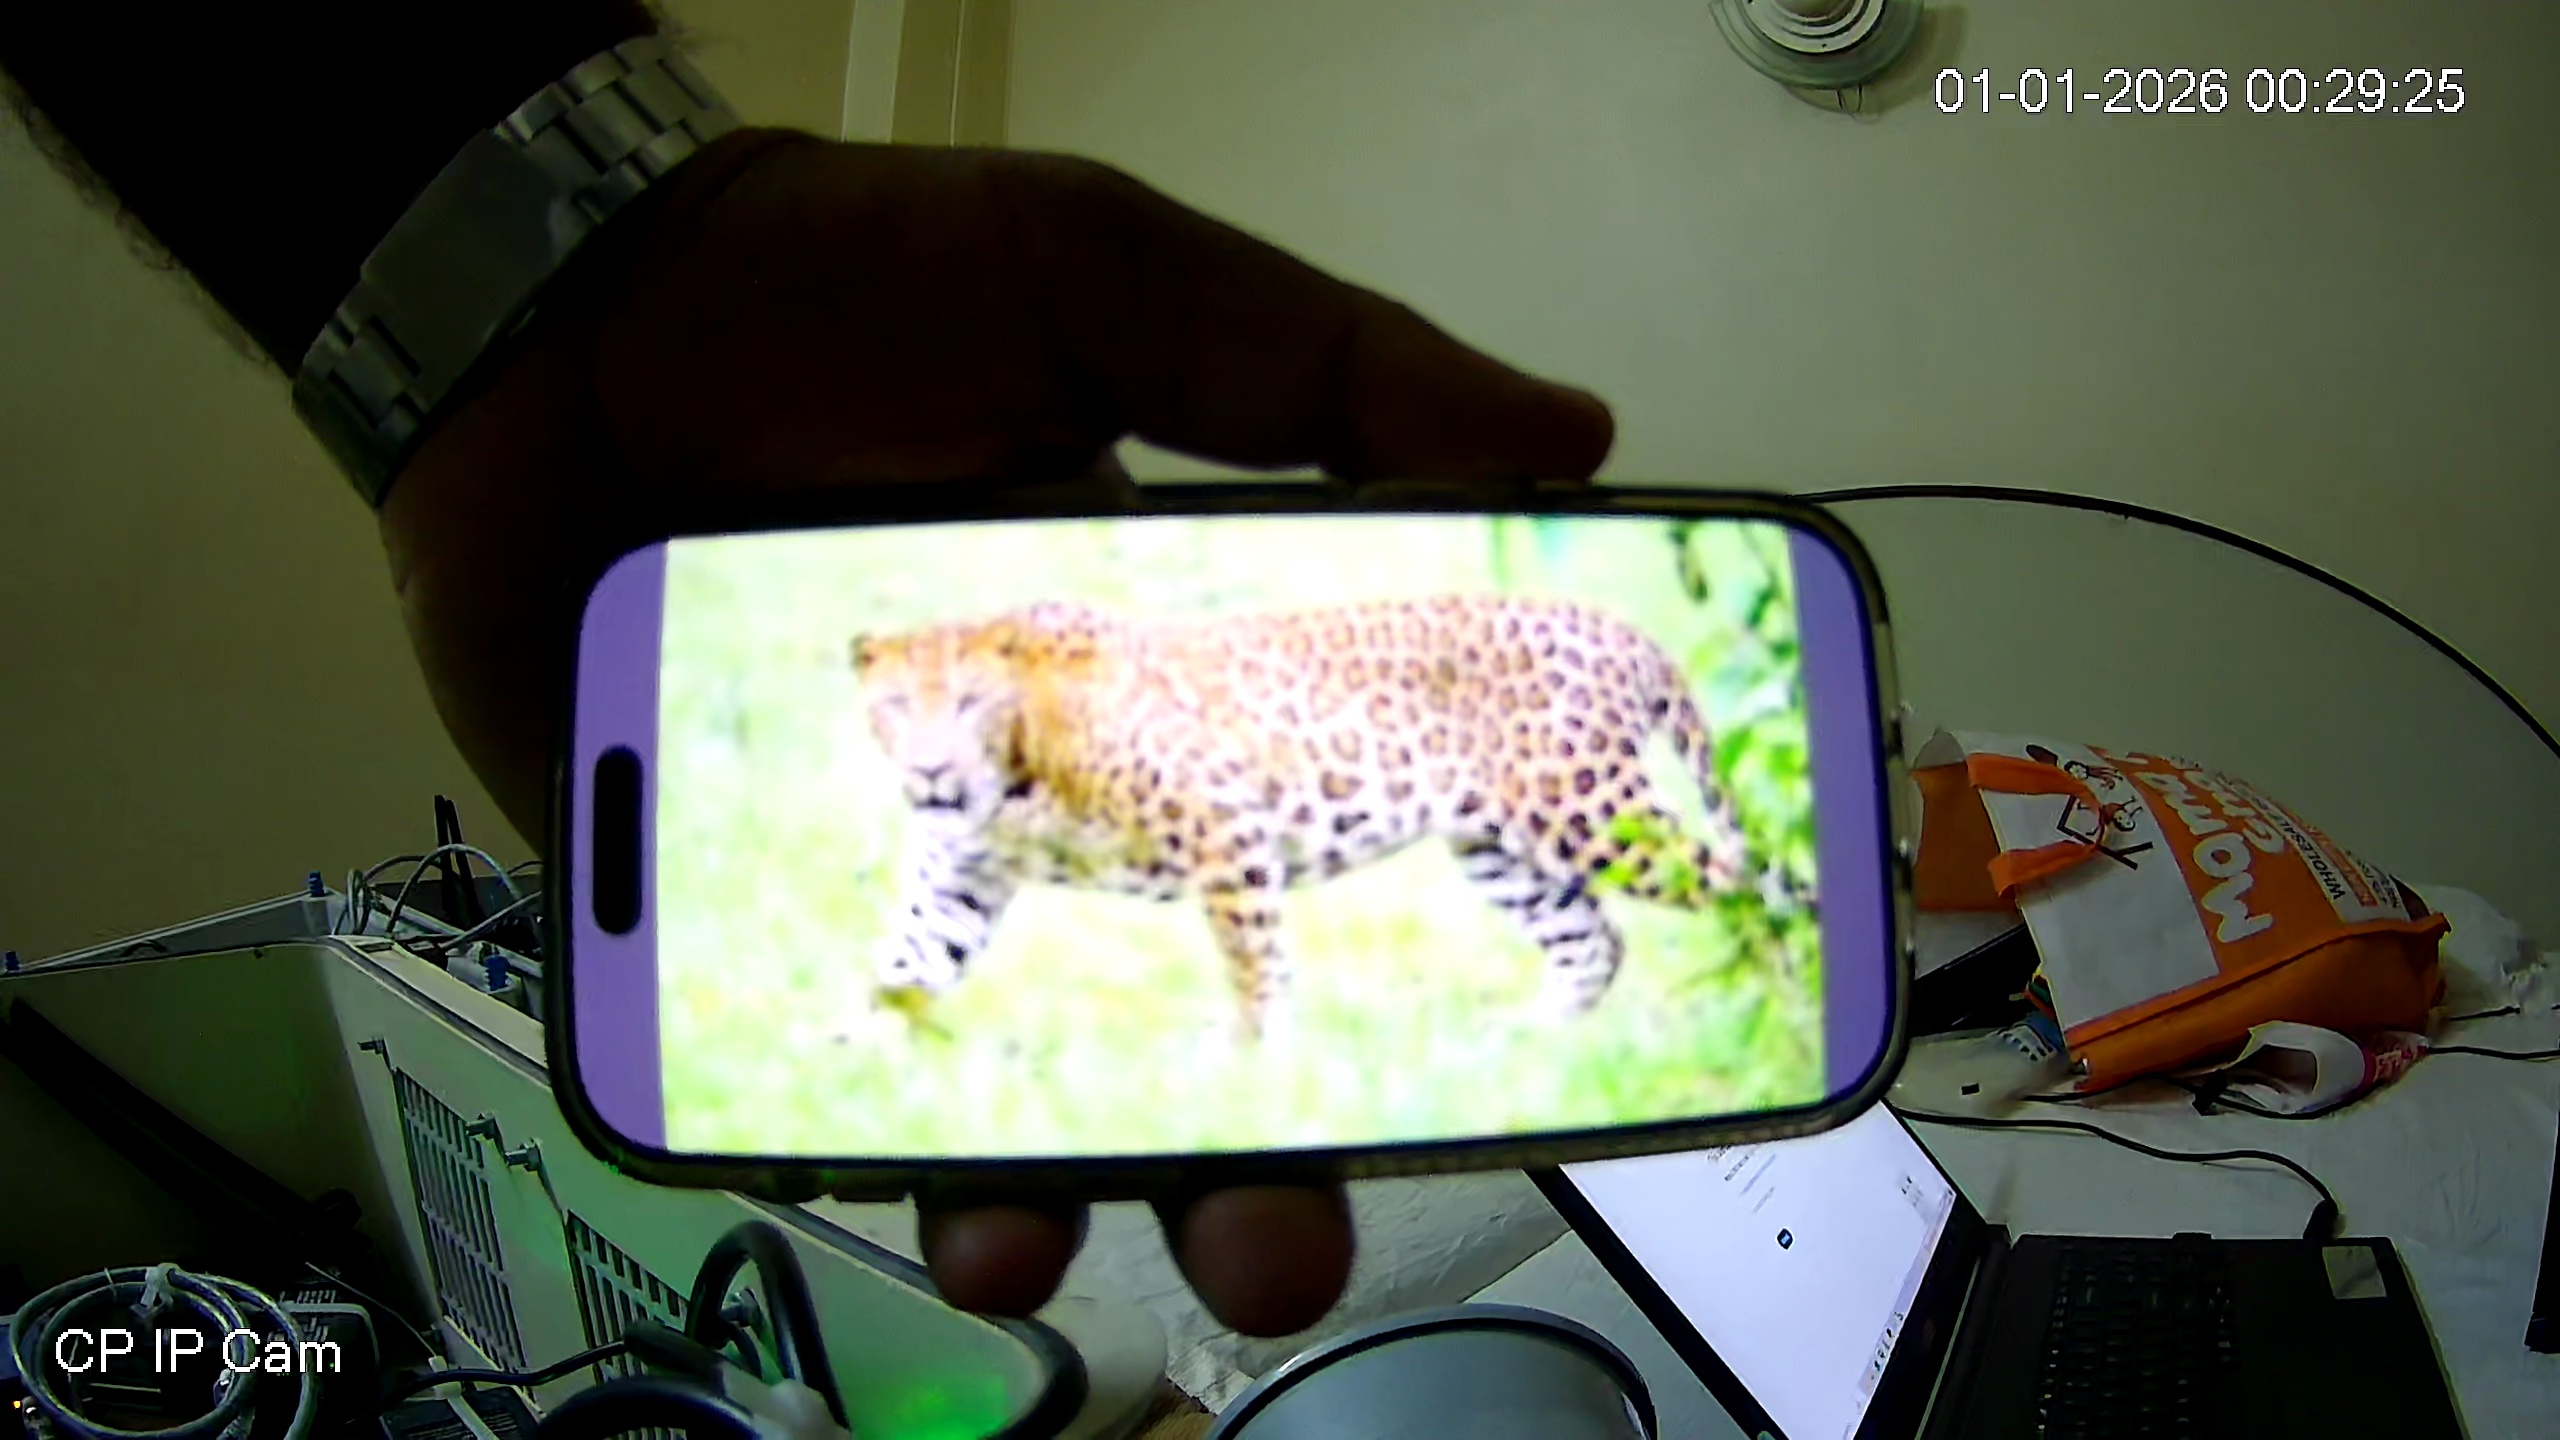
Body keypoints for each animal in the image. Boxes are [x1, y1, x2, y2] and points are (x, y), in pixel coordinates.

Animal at [847, 594, 1810, 1039]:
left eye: (969, 703)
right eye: (893, 708)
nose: (930, 770)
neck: (1012, 774)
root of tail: (1623, 631)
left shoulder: (1225, 830)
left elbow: (1254, 964)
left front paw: (1250, 1068)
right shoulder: (956, 888)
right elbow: (893, 976)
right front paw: (833, 1090)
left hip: (1594, 813)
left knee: (1745, 888)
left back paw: (1784, 1013)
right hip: (1500, 847)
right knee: (1595, 941)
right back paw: (1526, 1051)